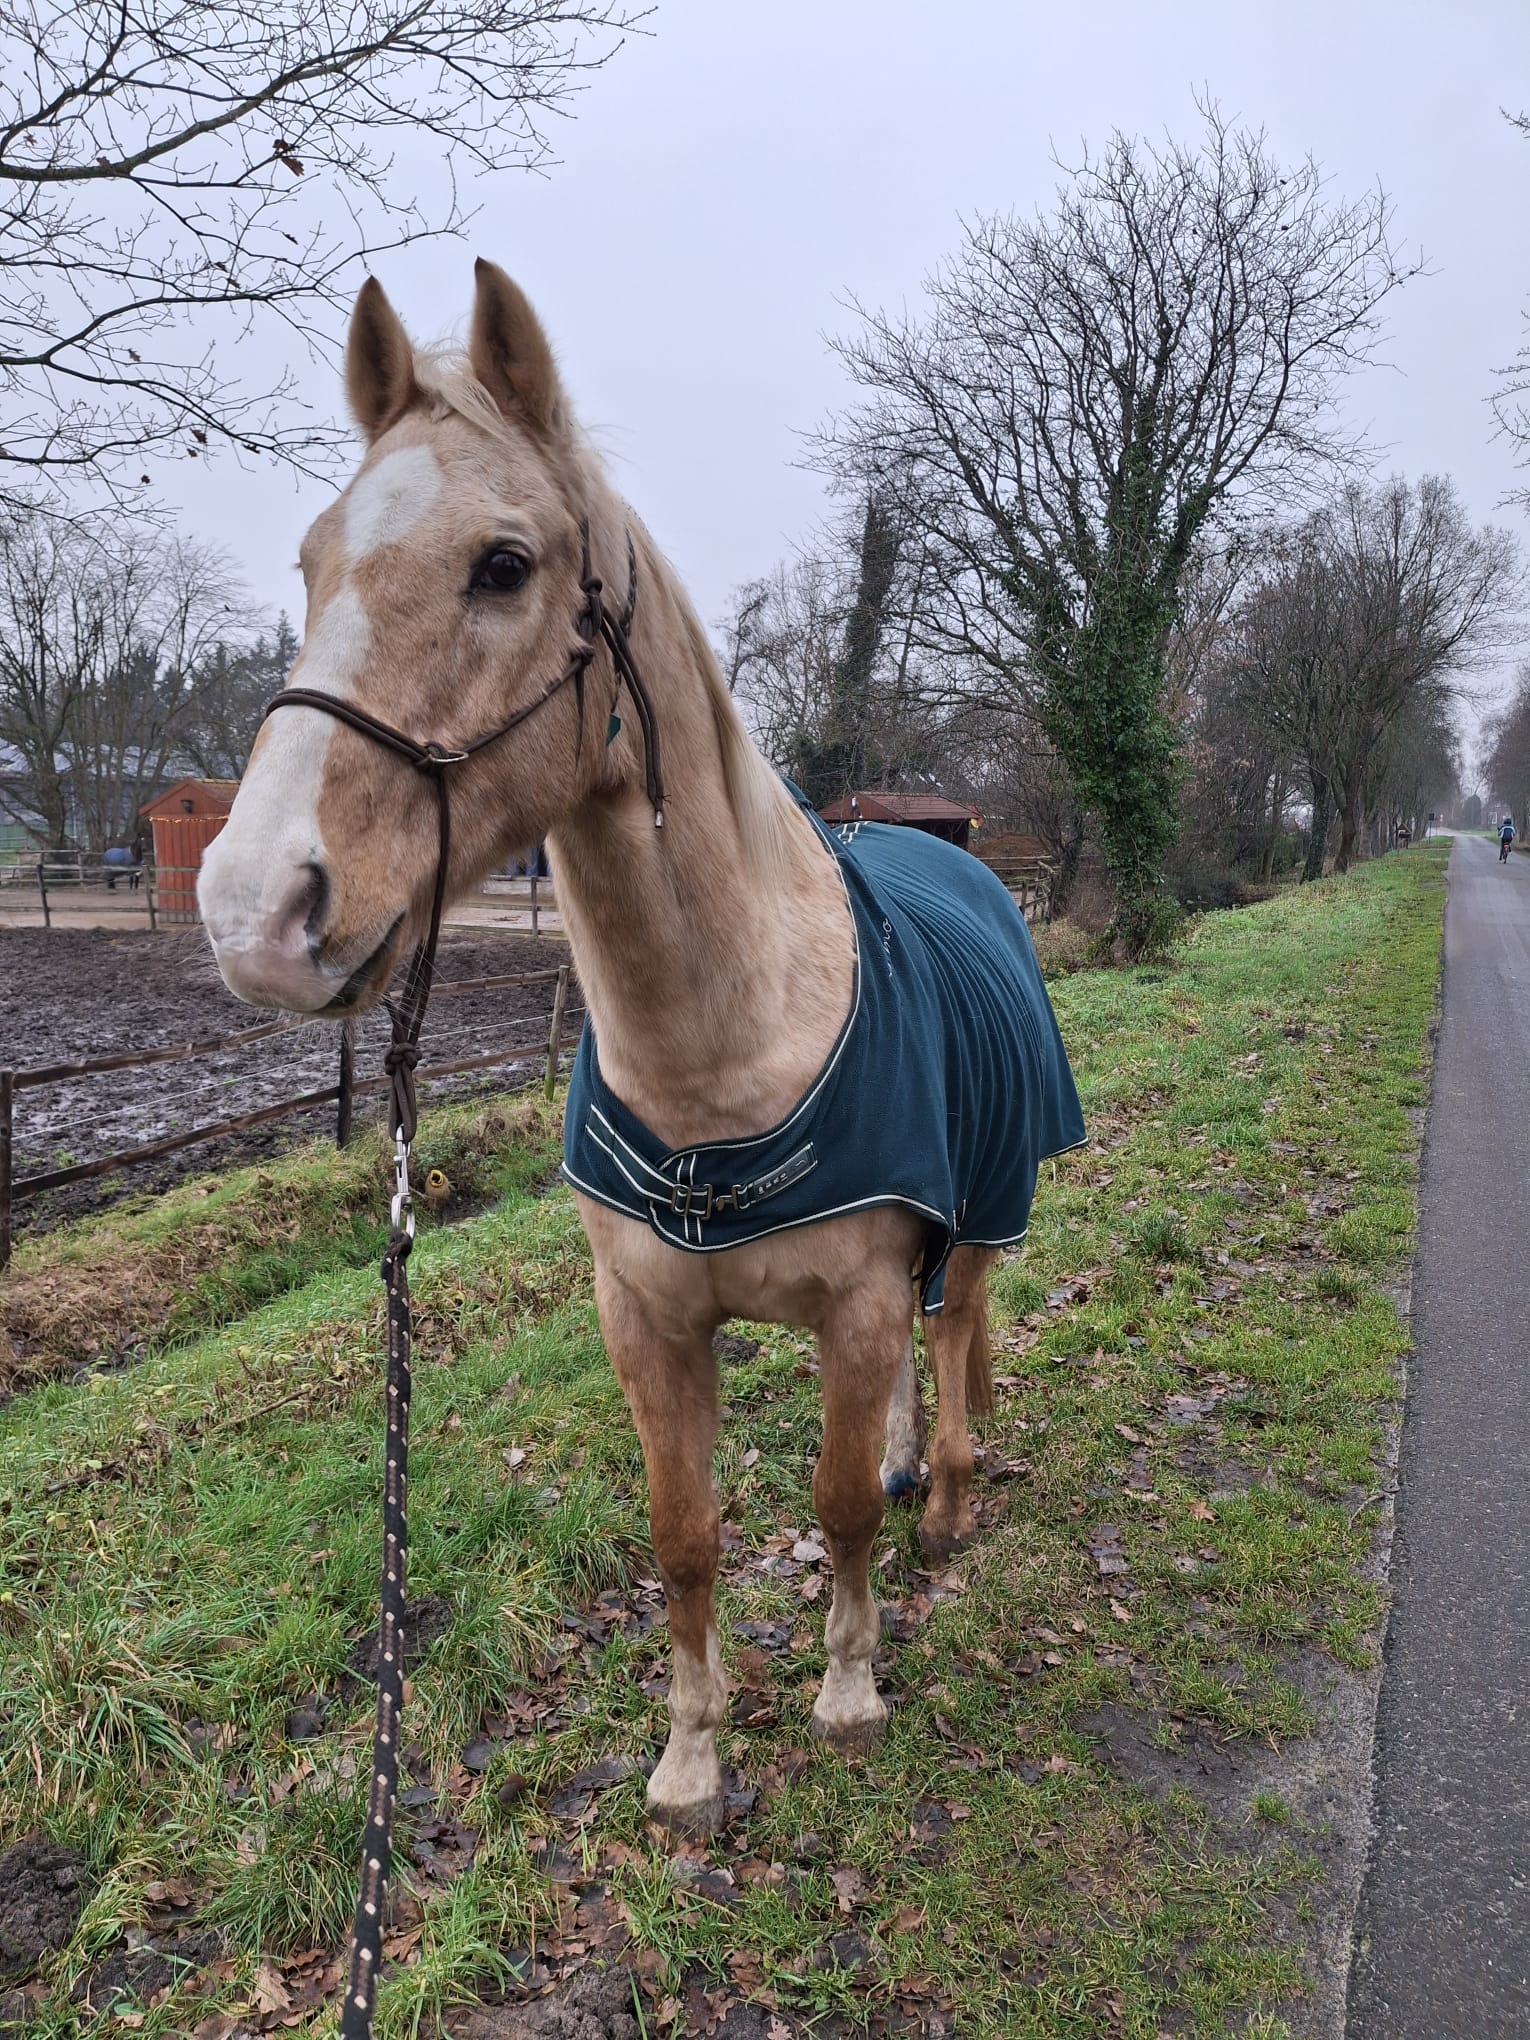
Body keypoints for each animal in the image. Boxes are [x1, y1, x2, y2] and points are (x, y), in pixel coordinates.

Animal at [197, 261, 1083, 1837]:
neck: (723, 1061)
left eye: (502, 565)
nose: (253, 912)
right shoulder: (648, 1327)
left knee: (958, 1331)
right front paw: (688, 1759)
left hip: (984, 1214)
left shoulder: (859, 1301)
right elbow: (685, 1536)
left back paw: (949, 1495)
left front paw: (846, 1691)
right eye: (310, 565)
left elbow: (834, 1505)